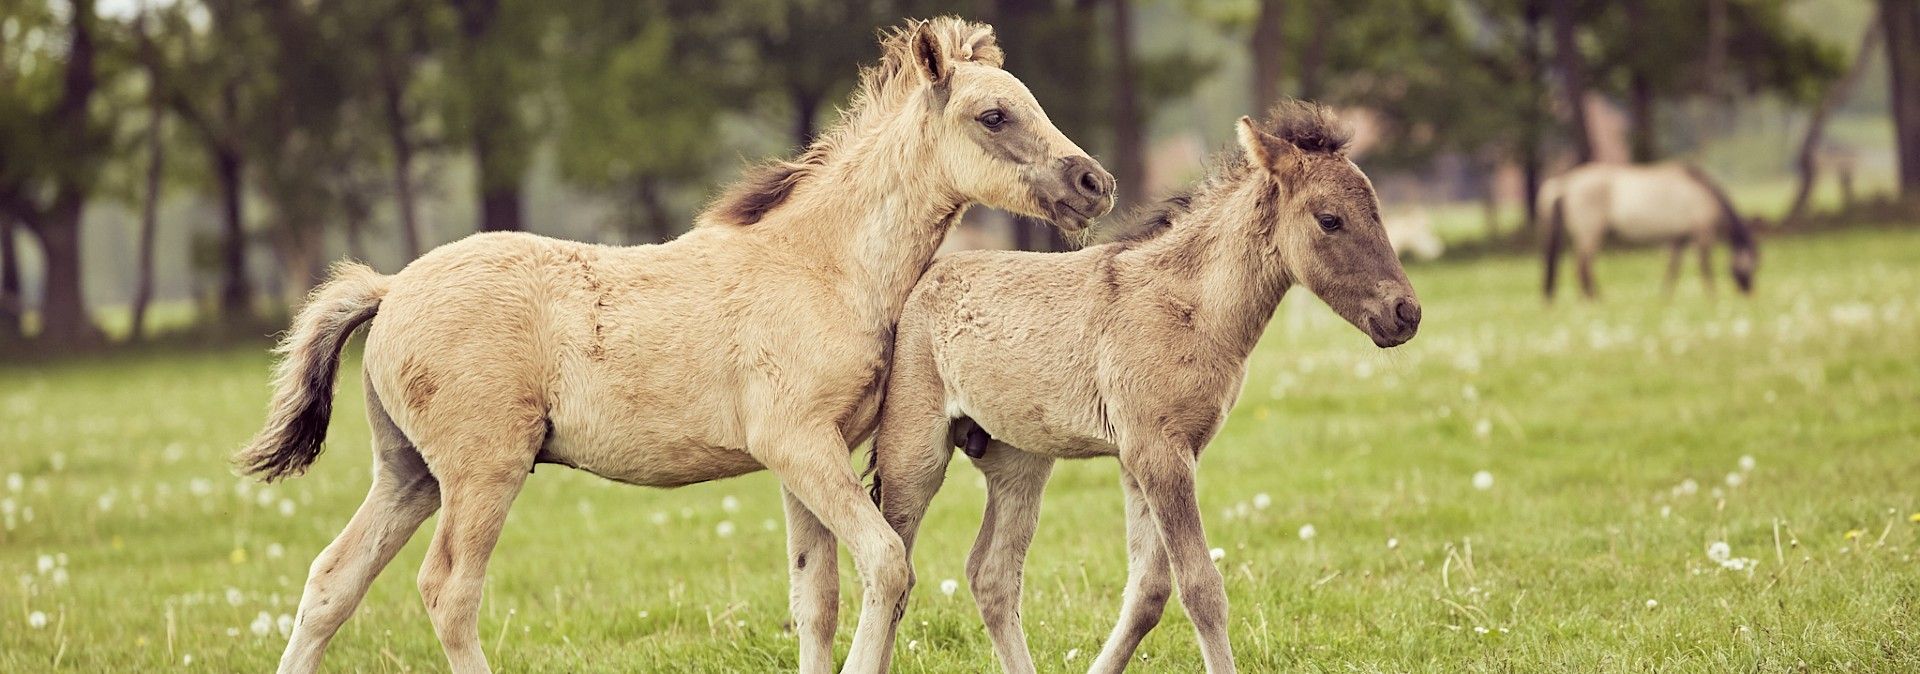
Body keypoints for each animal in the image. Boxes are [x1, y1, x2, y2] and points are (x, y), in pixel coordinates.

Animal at [233, 17, 1114, 674]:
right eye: (993, 116)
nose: (1094, 184)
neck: (823, 264)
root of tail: (390, 289)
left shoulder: (806, 460)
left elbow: (816, 600)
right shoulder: (798, 445)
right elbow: (887, 566)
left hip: (408, 475)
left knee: (330, 582)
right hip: (484, 473)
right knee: (448, 592)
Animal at [865, 102, 1418, 673]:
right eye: (1330, 220)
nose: (1406, 313)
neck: (1192, 308)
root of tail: (922, 279)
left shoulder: (1150, 459)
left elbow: (1149, 591)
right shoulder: (1158, 453)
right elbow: (1201, 588)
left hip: (1018, 460)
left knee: (990, 576)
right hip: (914, 454)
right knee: (893, 564)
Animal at [1539, 162, 1758, 300]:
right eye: (1751, 268)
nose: (1748, 293)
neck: (1702, 192)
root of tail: (1567, 183)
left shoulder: (1678, 237)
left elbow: (1673, 268)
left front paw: (1665, 295)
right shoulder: (1702, 232)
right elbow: (1705, 266)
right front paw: (1712, 294)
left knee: (1582, 266)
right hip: (1590, 232)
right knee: (1583, 266)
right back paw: (1595, 298)